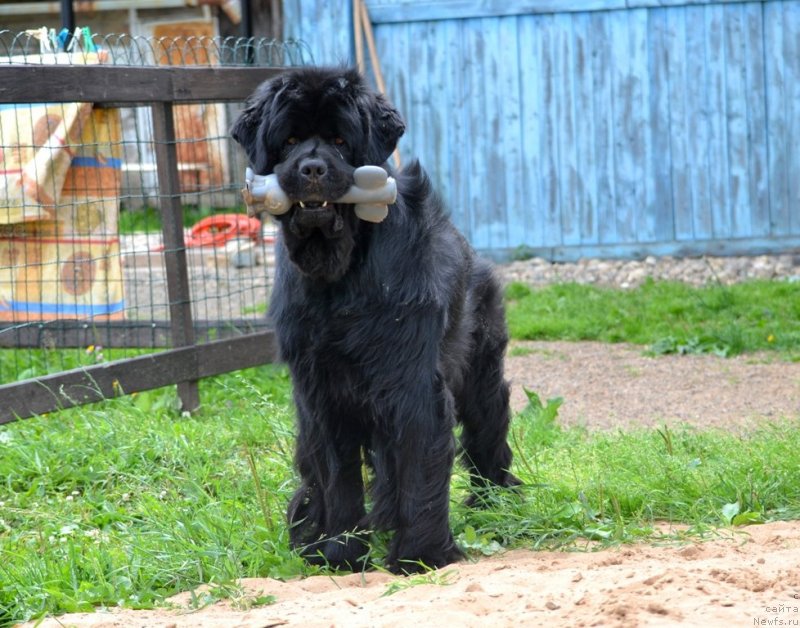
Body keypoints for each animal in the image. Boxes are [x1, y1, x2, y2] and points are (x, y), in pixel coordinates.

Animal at [231, 68, 520, 576]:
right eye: (289, 140)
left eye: (340, 140)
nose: (311, 169)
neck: (342, 275)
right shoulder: (321, 393)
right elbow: (336, 477)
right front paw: (341, 554)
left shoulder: (412, 383)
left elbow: (420, 465)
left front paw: (420, 556)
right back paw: (309, 536)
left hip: (480, 372)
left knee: (487, 431)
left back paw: (495, 501)